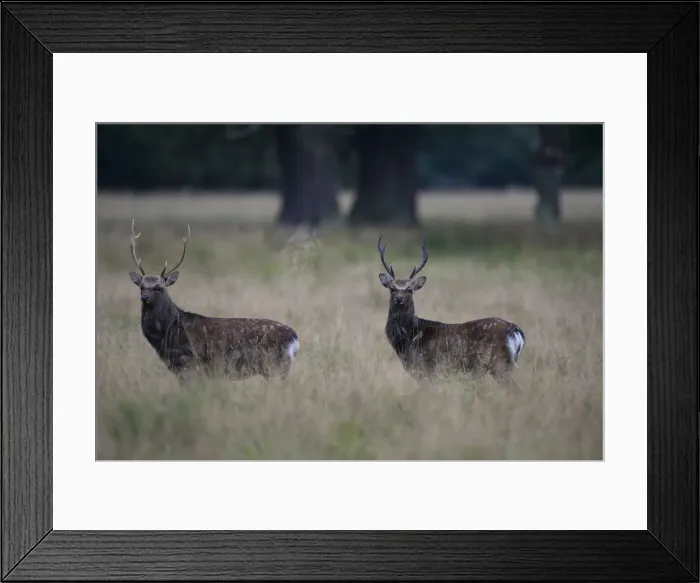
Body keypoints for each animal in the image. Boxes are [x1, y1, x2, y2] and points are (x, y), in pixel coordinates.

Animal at [128, 219, 300, 382]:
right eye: (141, 286)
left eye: (159, 287)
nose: (144, 297)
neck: (168, 331)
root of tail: (294, 338)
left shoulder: (189, 364)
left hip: (274, 367)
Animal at [376, 235, 526, 388]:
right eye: (392, 288)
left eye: (409, 289)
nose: (399, 298)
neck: (410, 337)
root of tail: (516, 330)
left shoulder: (427, 369)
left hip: (500, 363)